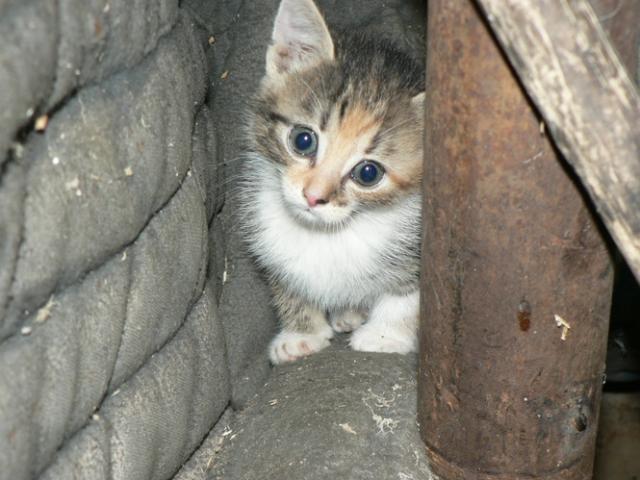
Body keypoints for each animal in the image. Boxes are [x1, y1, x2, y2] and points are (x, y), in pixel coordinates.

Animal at [239, 0, 425, 364]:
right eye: (303, 140)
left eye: (368, 173)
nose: (313, 197)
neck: (328, 234)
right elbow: (288, 279)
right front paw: (301, 334)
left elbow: (408, 291)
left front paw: (385, 335)